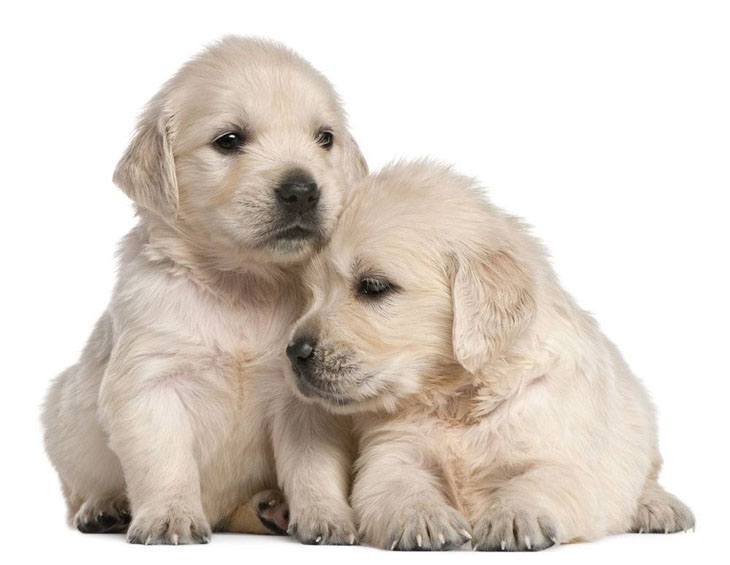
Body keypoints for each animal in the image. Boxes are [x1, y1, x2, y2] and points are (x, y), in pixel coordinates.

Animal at [39, 37, 364, 544]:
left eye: (324, 138)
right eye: (229, 140)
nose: (302, 190)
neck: (243, 285)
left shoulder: (303, 398)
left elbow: (313, 465)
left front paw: (327, 515)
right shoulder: (150, 382)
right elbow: (164, 460)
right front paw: (169, 515)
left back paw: (272, 507)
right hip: (63, 416)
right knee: (77, 492)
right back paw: (105, 507)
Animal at [282, 161, 688, 548]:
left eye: (373, 286)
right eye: (312, 292)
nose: (293, 351)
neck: (458, 399)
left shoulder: (563, 449)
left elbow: (541, 479)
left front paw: (515, 517)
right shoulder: (392, 450)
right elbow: (396, 482)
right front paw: (422, 518)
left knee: (646, 476)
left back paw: (660, 507)